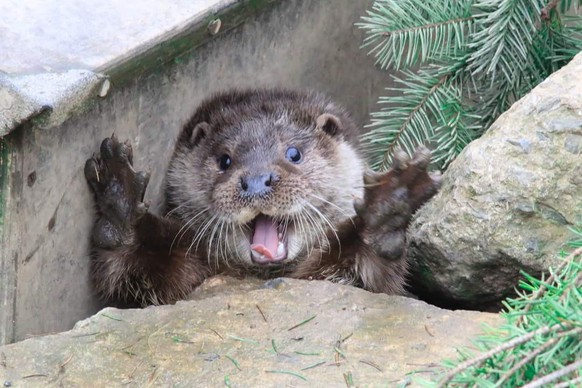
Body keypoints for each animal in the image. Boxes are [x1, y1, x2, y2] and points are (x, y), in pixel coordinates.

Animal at [83, 88, 442, 306]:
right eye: (224, 160)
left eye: (294, 153)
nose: (256, 182)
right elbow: (133, 273)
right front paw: (120, 201)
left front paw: (387, 209)